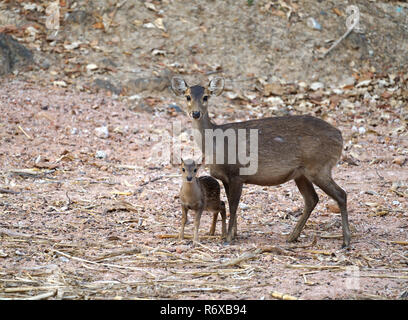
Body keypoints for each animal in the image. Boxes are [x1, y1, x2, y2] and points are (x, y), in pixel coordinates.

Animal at [171, 77, 352, 248]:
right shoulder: (226, 178)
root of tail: (340, 136)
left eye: (206, 96)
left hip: (319, 167)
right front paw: (234, 234)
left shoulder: (237, 174)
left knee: (341, 194)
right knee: (312, 199)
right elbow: (231, 204)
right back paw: (292, 237)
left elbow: (233, 206)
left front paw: (228, 238)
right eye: (187, 96)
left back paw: (346, 241)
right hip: (301, 174)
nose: (195, 113)